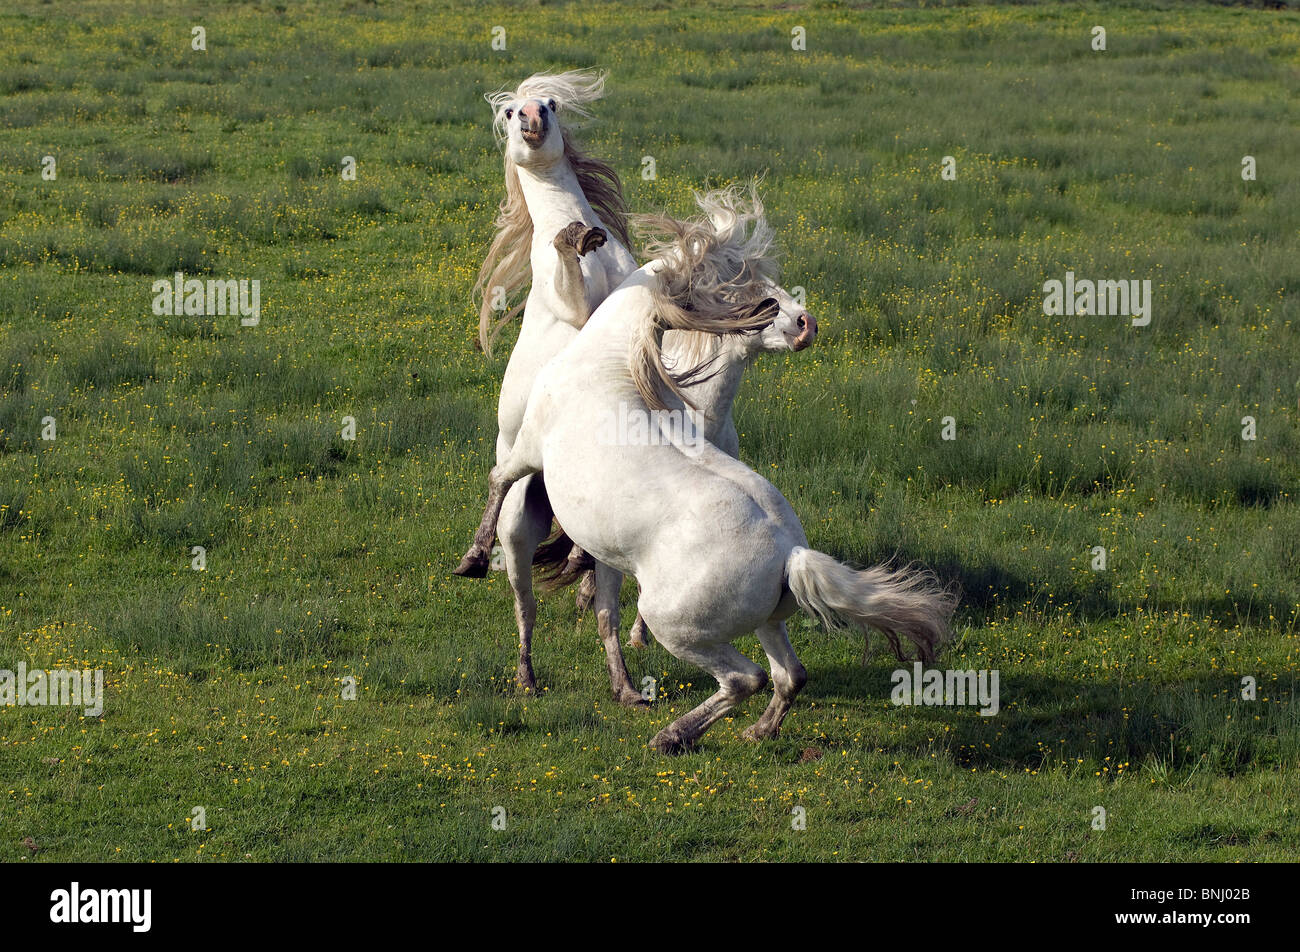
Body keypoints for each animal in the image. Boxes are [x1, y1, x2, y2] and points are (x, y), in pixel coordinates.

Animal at [457, 184, 956, 749]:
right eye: (745, 282)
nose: (804, 323)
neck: (608, 361)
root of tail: (791, 554)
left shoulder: (529, 447)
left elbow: (498, 480)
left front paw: (472, 559)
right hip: (768, 623)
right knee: (790, 675)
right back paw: (757, 733)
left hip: (679, 626)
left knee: (745, 678)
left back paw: (672, 735)